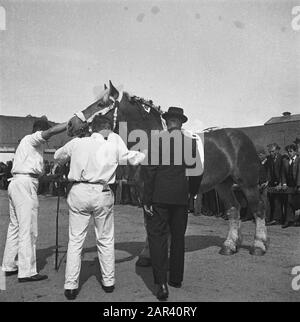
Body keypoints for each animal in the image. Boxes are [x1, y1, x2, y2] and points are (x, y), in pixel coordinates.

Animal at [68, 80, 270, 256]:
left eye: (100, 104)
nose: (71, 123)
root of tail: (241, 137)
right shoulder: (144, 192)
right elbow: (149, 223)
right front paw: (149, 254)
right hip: (223, 184)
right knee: (234, 209)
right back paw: (230, 245)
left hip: (247, 183)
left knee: (258, 208)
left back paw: (258, 245)